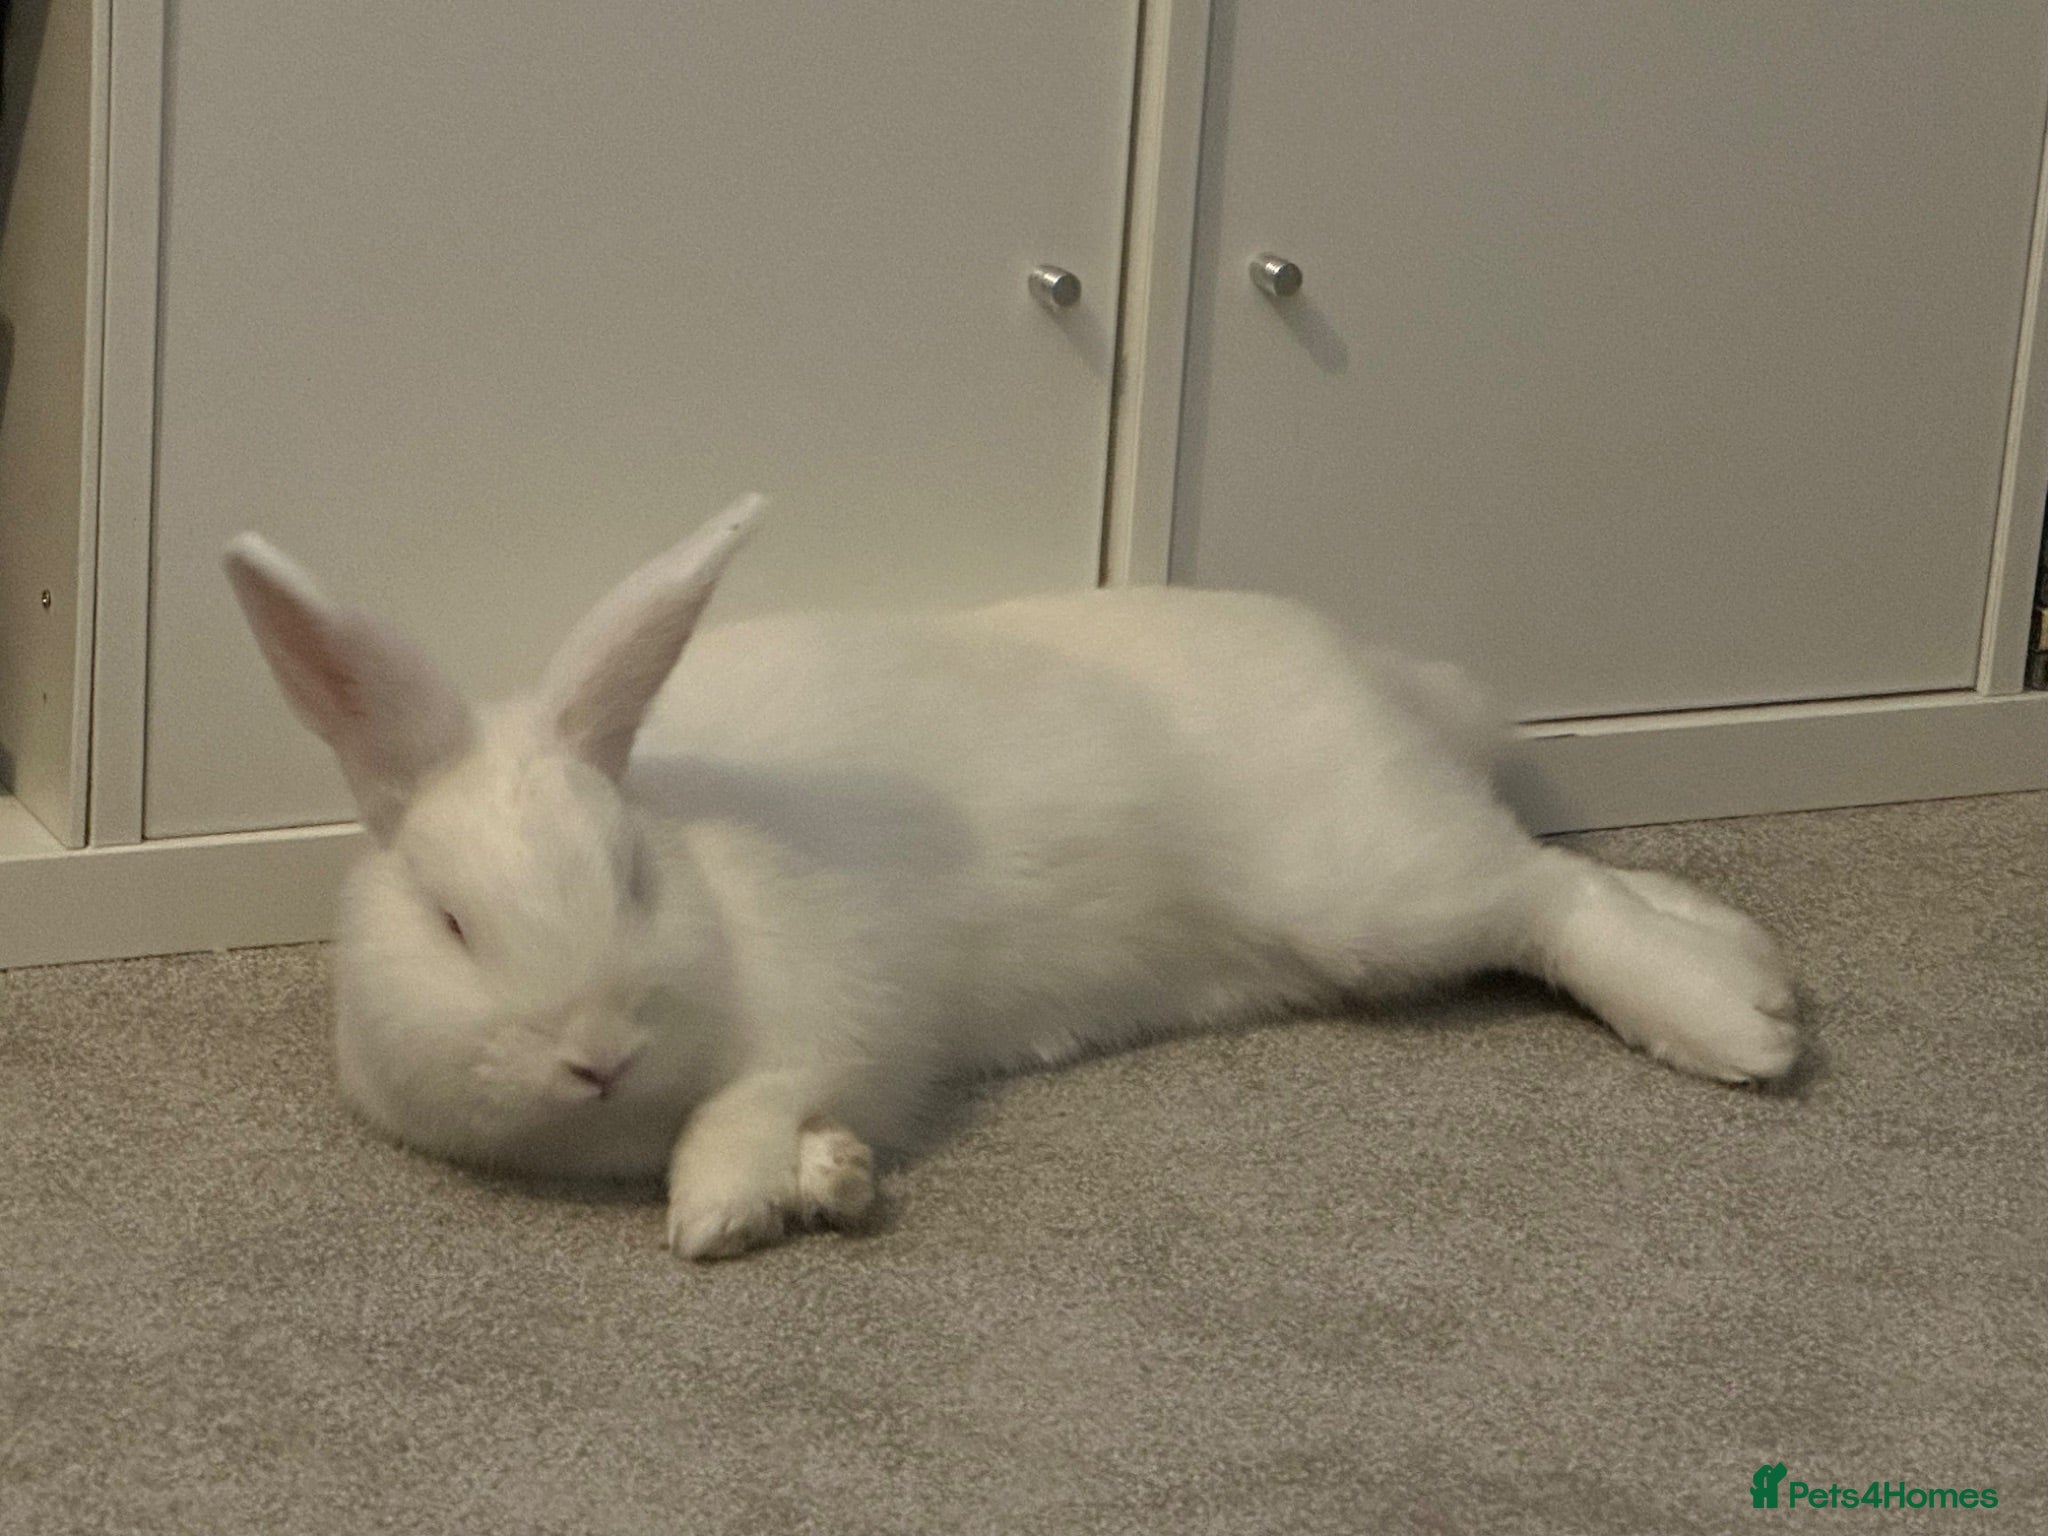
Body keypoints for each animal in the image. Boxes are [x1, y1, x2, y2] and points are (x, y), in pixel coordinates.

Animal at [223, 494, 1799, 1259]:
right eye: (451, 923)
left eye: (629, 884)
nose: (595, 1054)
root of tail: (1360, 670)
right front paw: (831, 1185)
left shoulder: (841, 1009)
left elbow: (756, 1097)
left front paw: (725, 1210)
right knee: (1561, 879)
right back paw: (1758, 970)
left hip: (1371, 883)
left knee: (1545, 898)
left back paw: (1740, 1031)